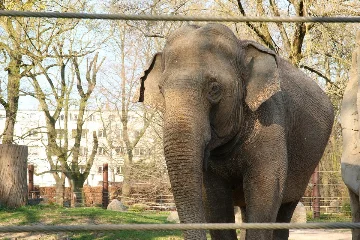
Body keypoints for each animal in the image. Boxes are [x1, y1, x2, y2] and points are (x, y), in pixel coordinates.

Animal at [136, 23, 334, 240]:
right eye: (161, 90)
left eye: (214, 88)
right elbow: (214, 200)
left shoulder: (272, 119)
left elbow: (266, 189)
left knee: (285, 210)